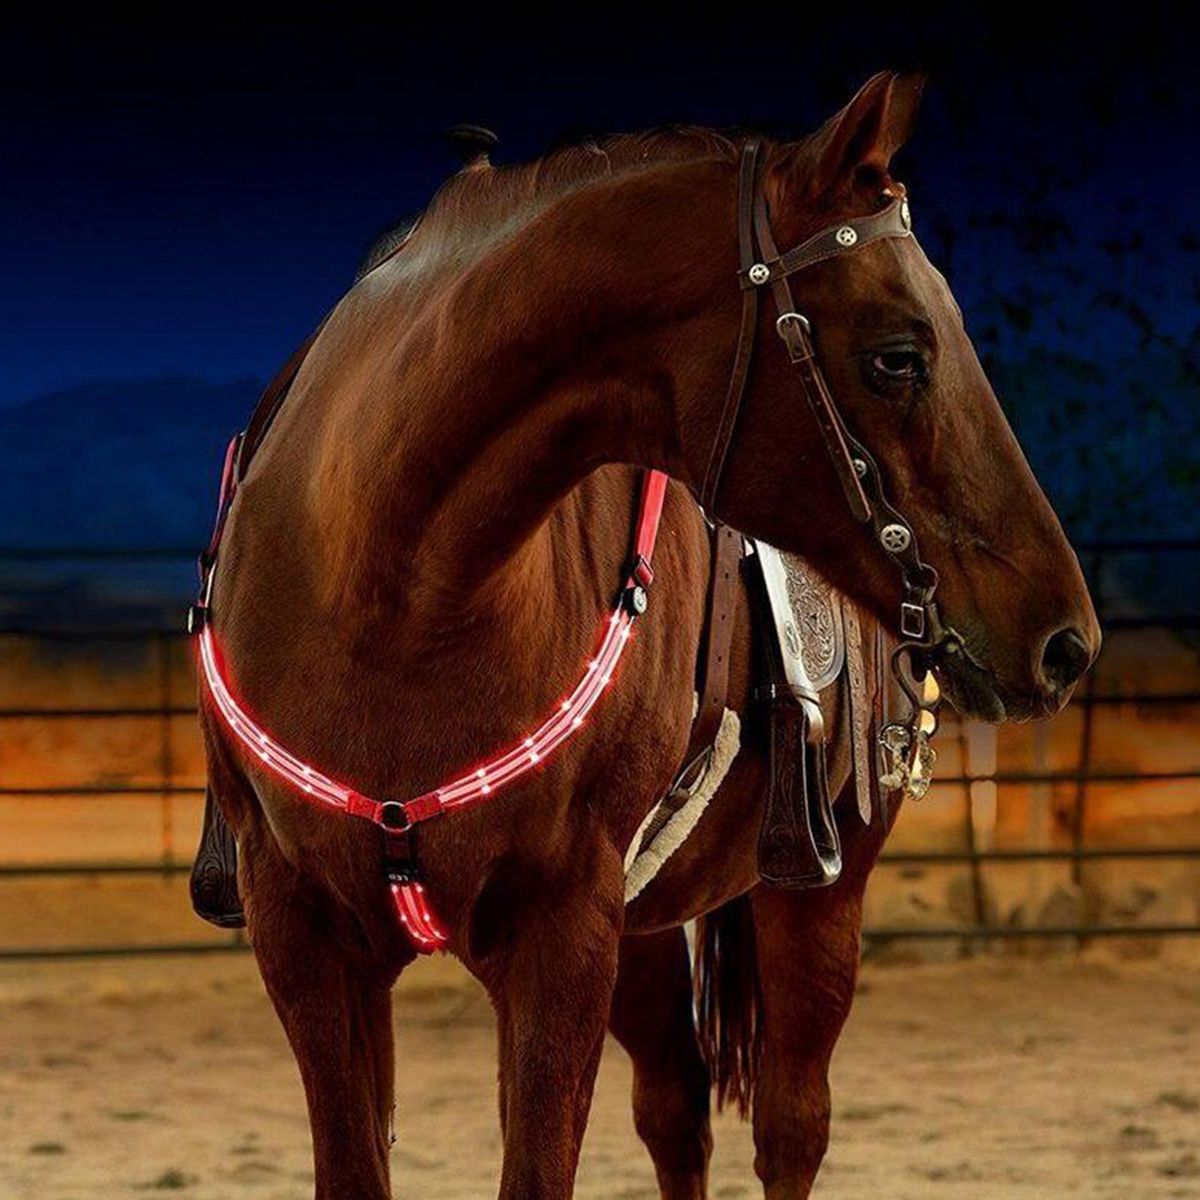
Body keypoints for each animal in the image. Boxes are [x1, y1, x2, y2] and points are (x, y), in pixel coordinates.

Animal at [197, 72, 1100, 1199]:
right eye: (899, 356)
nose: (1065, 641)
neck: (389, 593)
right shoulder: (307, 937)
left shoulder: (561, 934)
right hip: (643, 928)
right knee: (676, 1109)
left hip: (816, 896)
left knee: (790, 1126)